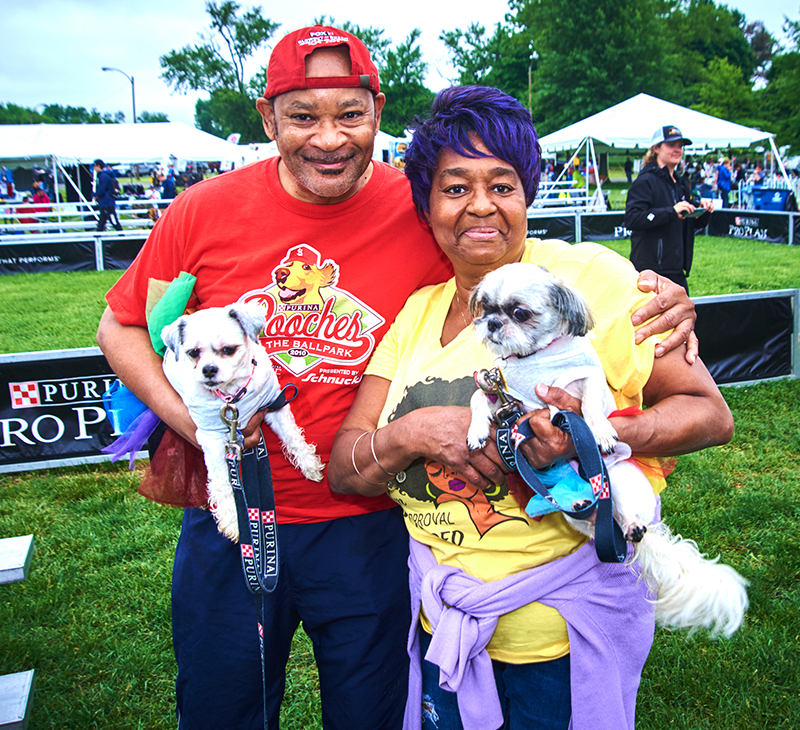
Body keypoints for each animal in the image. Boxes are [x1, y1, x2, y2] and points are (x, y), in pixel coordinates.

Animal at [161, 302, 324, 540]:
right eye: (193, 353)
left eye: (229, 349)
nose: (208, 369)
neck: (234, 395)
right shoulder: (211, 439)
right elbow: (221, 481)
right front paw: (232, 519)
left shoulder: (274, 405)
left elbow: (292, 435)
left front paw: (309, 463)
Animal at [466, 264, 748, 636]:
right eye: (485, 307)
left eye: (520, 313)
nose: (493, 323)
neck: (535, 359)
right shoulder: (503, 393)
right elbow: (477, 396)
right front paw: (476, 430)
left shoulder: (585, 380)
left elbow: (588, 404)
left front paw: (598, 431)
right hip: (568, 508)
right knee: (590, 521)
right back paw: (583, 503)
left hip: (621, 480)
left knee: (629, 519)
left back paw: (632, 525)